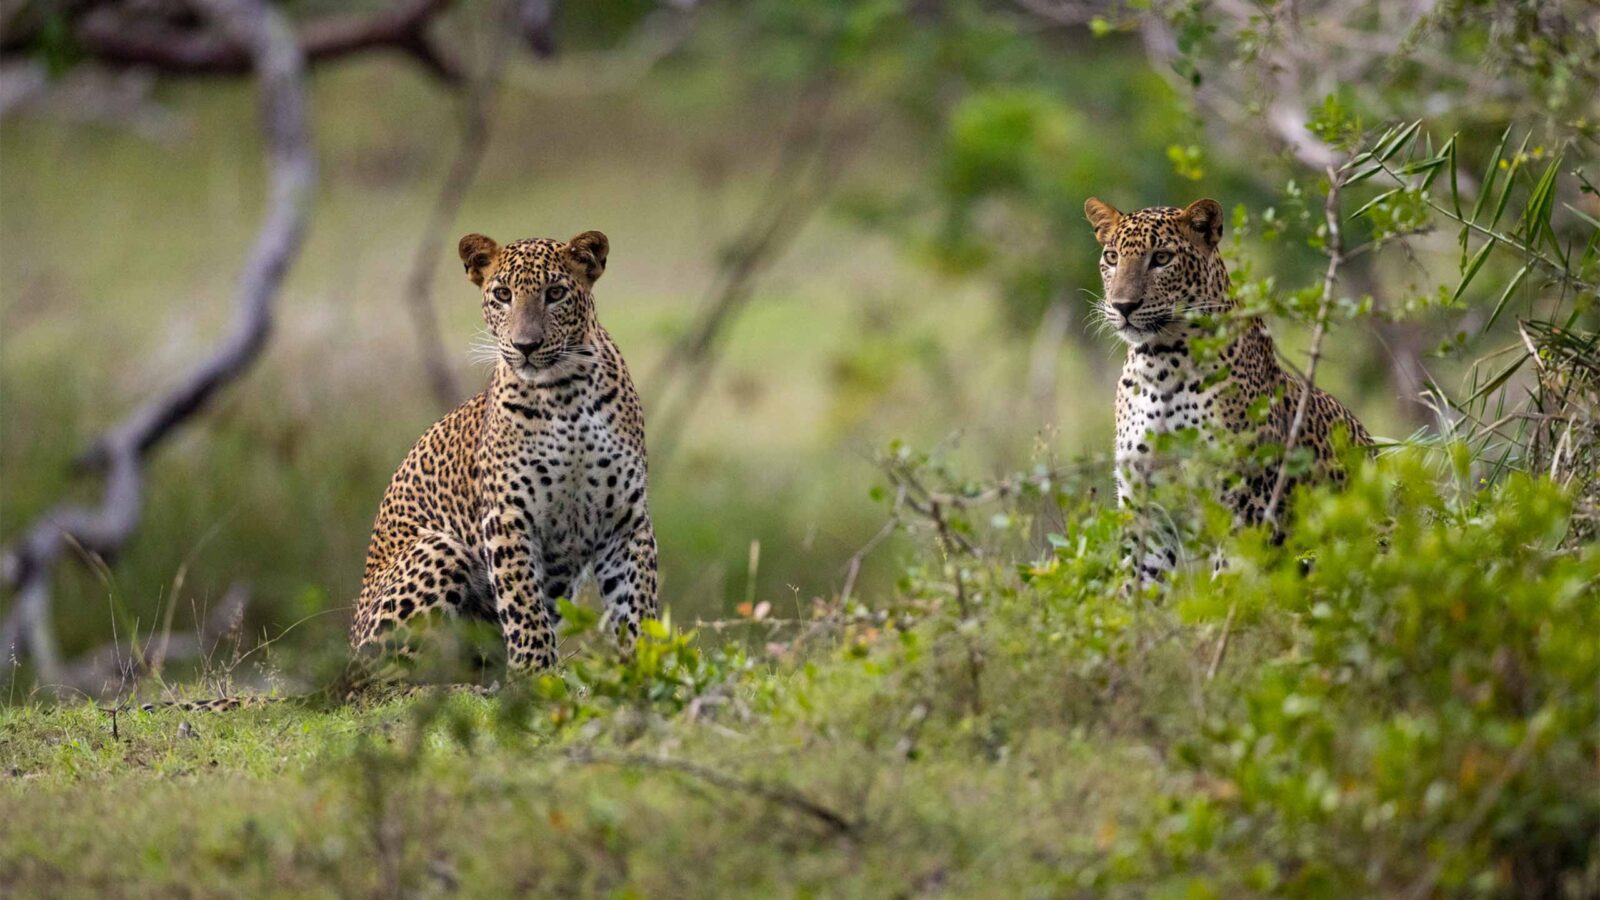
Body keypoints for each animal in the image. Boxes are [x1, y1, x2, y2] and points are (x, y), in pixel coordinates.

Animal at [1083, 197, 1372, 581]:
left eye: (1162, 258)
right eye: (1112, 257)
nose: (1123, 306)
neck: (1162, 366)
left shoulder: (1246, 507)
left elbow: (1229, 584)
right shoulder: (1147, 508)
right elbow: (1136, 584)